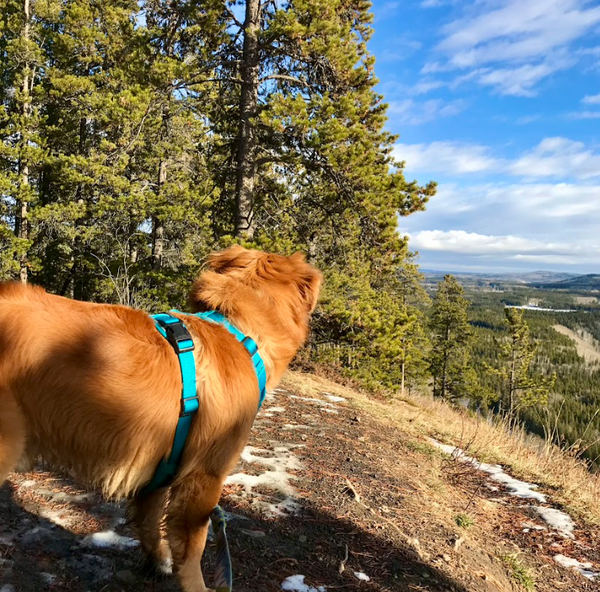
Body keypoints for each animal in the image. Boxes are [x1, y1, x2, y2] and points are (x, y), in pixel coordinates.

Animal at [0, 246, 324, 592]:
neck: (236, 332)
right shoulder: (204, 476)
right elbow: (194, 548)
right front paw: (196, 585)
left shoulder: (159, 466)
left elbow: (151, 522)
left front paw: (158, 562)